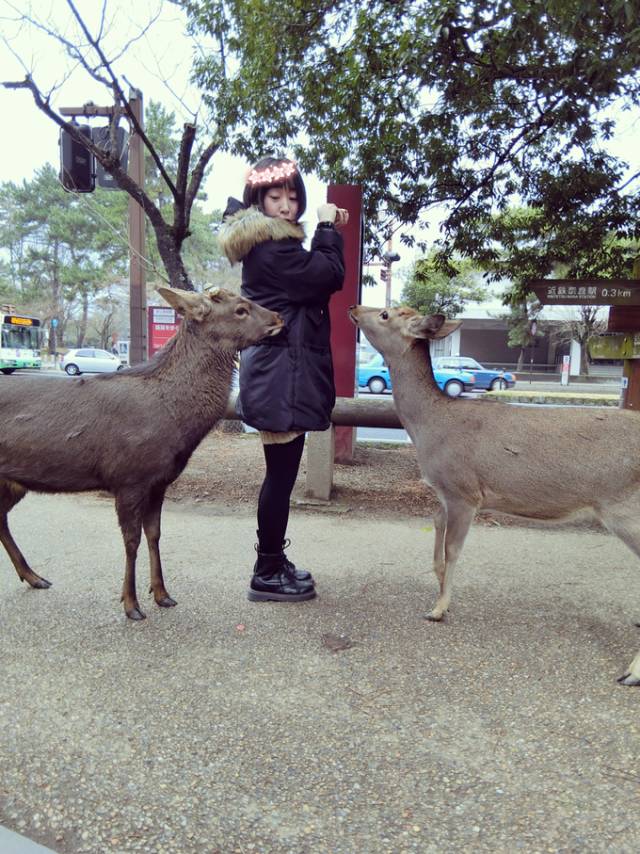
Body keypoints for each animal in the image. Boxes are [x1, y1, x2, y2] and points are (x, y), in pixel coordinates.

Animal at [0, 288, 282, 620]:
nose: (279, 317)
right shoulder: (128, 478)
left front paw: (162, 594)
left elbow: (155, 534)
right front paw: (131, 604)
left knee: (1, 517)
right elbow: (131, 541)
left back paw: (33, 576)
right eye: (240, 309)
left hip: (13, 481)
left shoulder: (158, 482)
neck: (174, 422)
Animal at [350, 304, 640, 684]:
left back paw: (631, 671)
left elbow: (453, 550)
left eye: (384, 314)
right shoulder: (442, 493)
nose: (354, 308)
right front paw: (440, 593)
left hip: (625, 509)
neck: (429, 429)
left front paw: (438, 609)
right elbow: (436, 536)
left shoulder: (464, 490)